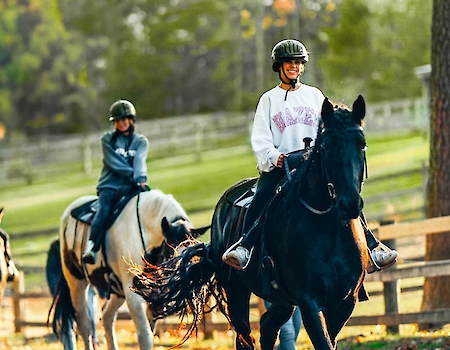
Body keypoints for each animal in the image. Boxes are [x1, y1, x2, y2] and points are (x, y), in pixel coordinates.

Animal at [132, 96, 370, 350]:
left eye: (362, 144)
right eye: (326, 146)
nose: (349, 203)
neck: (329, 230)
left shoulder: (344, 302)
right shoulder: (309, 301)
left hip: (282, 299)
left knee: (267, 327)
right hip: (237, 292)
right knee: (245, 337)